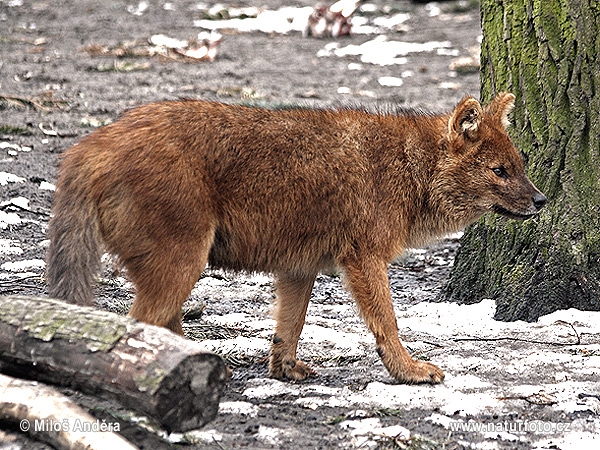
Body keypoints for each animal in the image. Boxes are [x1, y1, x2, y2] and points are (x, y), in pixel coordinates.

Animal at [47, 93, 544, 384]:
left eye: (520, 166)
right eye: (500, 171)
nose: (541, 201)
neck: (407, 168)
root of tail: (92, 143)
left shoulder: (298, 267)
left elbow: (291, 326)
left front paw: (284, 370)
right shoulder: (365, 257)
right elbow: (387, 322)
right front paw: (409, 371)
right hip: (183, 261)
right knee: (139, 324)